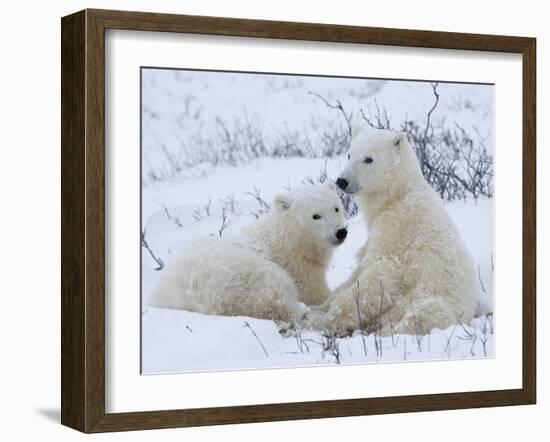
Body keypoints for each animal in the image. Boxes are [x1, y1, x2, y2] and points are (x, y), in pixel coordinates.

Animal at [149, 183, 348, 322]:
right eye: (316, 216)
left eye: (336, 207)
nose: (341, 232)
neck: (286, 240)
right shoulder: (299, 268)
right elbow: (315, 294)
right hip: (245, 278)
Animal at [308, 128, 480, 334]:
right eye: (349, 154)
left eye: (369, 159)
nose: (342, 181)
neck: (398, 195)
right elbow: (359, 269)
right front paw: (319, 306)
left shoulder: (395, 228)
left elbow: (379, 275)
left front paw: (321, 319)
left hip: (435, 300)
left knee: (419, 316)